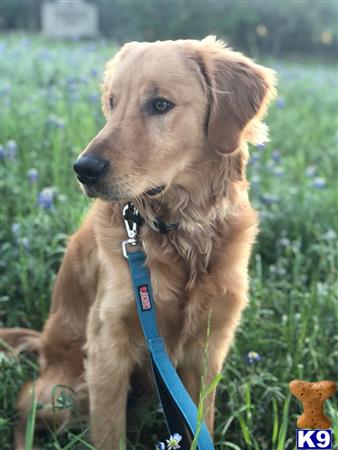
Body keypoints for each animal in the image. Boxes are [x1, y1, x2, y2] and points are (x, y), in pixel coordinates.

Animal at [1, 37, 274, 448]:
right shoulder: (108, 345)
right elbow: (108, 433)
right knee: (24, 408)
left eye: (160, 104)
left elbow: (200, 426)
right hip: (62, 392)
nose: (83, 169)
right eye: (112, 102)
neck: (182, 232)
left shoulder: (207, 350)